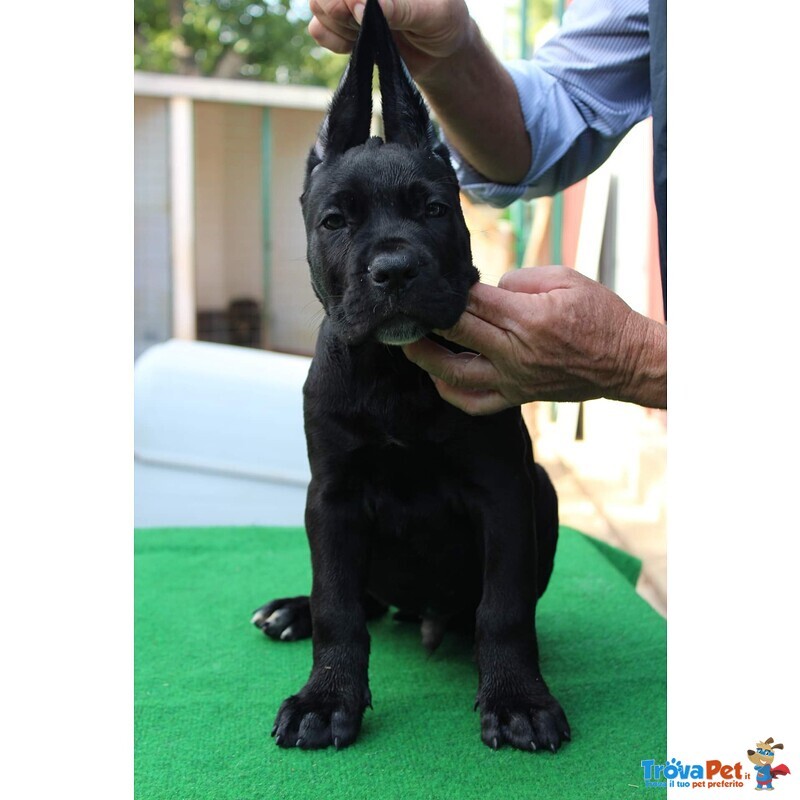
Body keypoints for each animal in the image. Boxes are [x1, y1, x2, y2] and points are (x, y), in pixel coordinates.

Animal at [252, 0, 568, 752]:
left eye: (433, 209)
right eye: (335, 221)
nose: (394, 270)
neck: (394, 370)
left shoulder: (503, 487)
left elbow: (504, 607)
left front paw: (516, 697)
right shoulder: (332, 496)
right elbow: (338, 605)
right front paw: (325, 697)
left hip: (541, 486)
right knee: (361, 600)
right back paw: (291, 610)